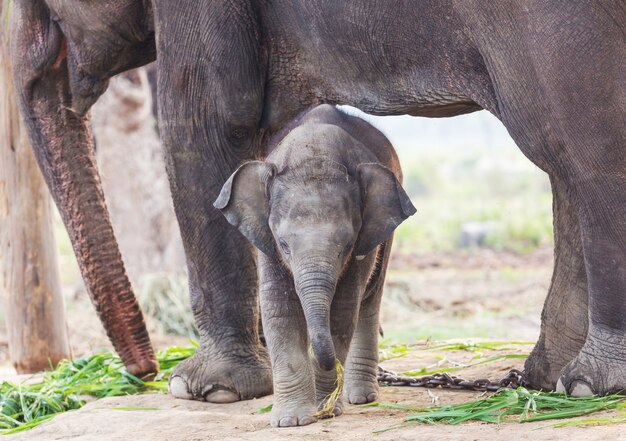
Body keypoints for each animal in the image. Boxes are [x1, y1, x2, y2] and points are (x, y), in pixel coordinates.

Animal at [214, 104, 414, 426]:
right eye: (283, 244)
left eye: (347, 245)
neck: (315, 149)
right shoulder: (265, 239)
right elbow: (278, 307)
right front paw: (291, 420)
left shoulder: (364, 238)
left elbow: (343, 310)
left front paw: (326, 409)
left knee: (369, 300)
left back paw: (361, 397)